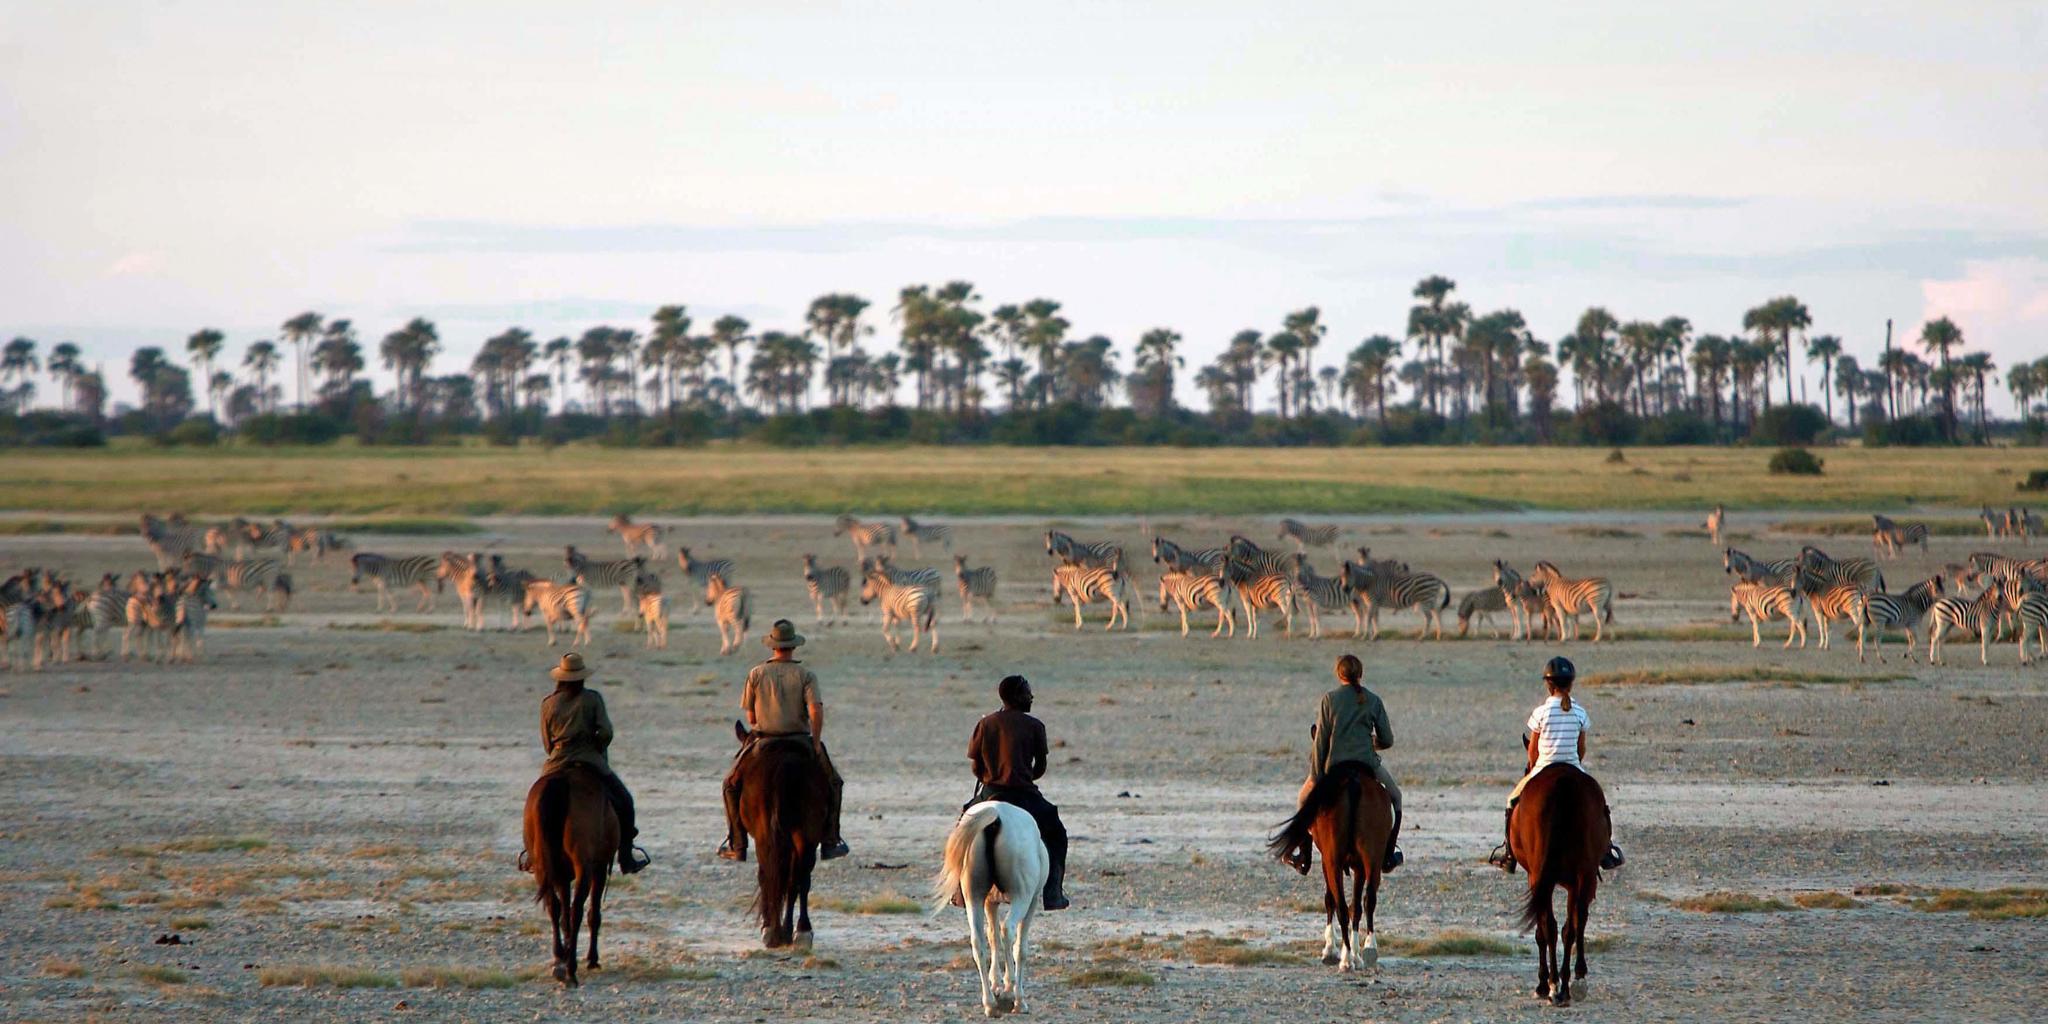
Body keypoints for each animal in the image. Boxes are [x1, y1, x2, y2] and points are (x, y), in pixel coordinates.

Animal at [522, 766, 618, 988]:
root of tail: (561, 782)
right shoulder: (599, 868)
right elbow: (593, 913)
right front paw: (592, 959)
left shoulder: (562, 876)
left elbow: (562, 911)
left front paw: (564, 954)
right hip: (584, 867)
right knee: (577, 911)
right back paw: (571, 970)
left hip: (542, 866)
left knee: (554, 906)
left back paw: (560, 960)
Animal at [734, 722, 831, 948]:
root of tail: (785, 764)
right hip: (806, 836)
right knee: (799, 878)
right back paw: (798, 931)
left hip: (767, 837)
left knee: (771, 875)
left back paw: (778, 931)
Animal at [930, 801, 1048, 1018]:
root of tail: (996, 814)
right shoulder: (1033, 901)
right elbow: (1020, 947)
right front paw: (1012, 992)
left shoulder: (989, 903)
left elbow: (992, 937)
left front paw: (996, 984)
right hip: (1022, 897)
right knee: (1008, 930)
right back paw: (1013, 996)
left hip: (974, 897)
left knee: (978, 942)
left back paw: (990, 1003)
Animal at [1266, 762, 1394, 972]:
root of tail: (1353, 780)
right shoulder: (1358, 866)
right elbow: (1355, 907)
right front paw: (1354, 953)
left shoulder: (1327, 862)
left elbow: (1329, 900)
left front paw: (1330, 949)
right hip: (1372, 858)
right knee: (1367, 900)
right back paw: (1368, 949)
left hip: (1333, 861)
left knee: (1341, 906)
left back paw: (1347, 959)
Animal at [1509, 763, 1610, 1007]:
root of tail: (1562, 781)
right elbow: (1571, 925)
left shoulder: (1536, 877)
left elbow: (1543, 930)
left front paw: (1542, 984)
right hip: (1584, 874)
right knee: (1572, 925)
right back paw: (1570, 984)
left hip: (1551, 876)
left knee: (1553, 926)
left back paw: (1555, 985)